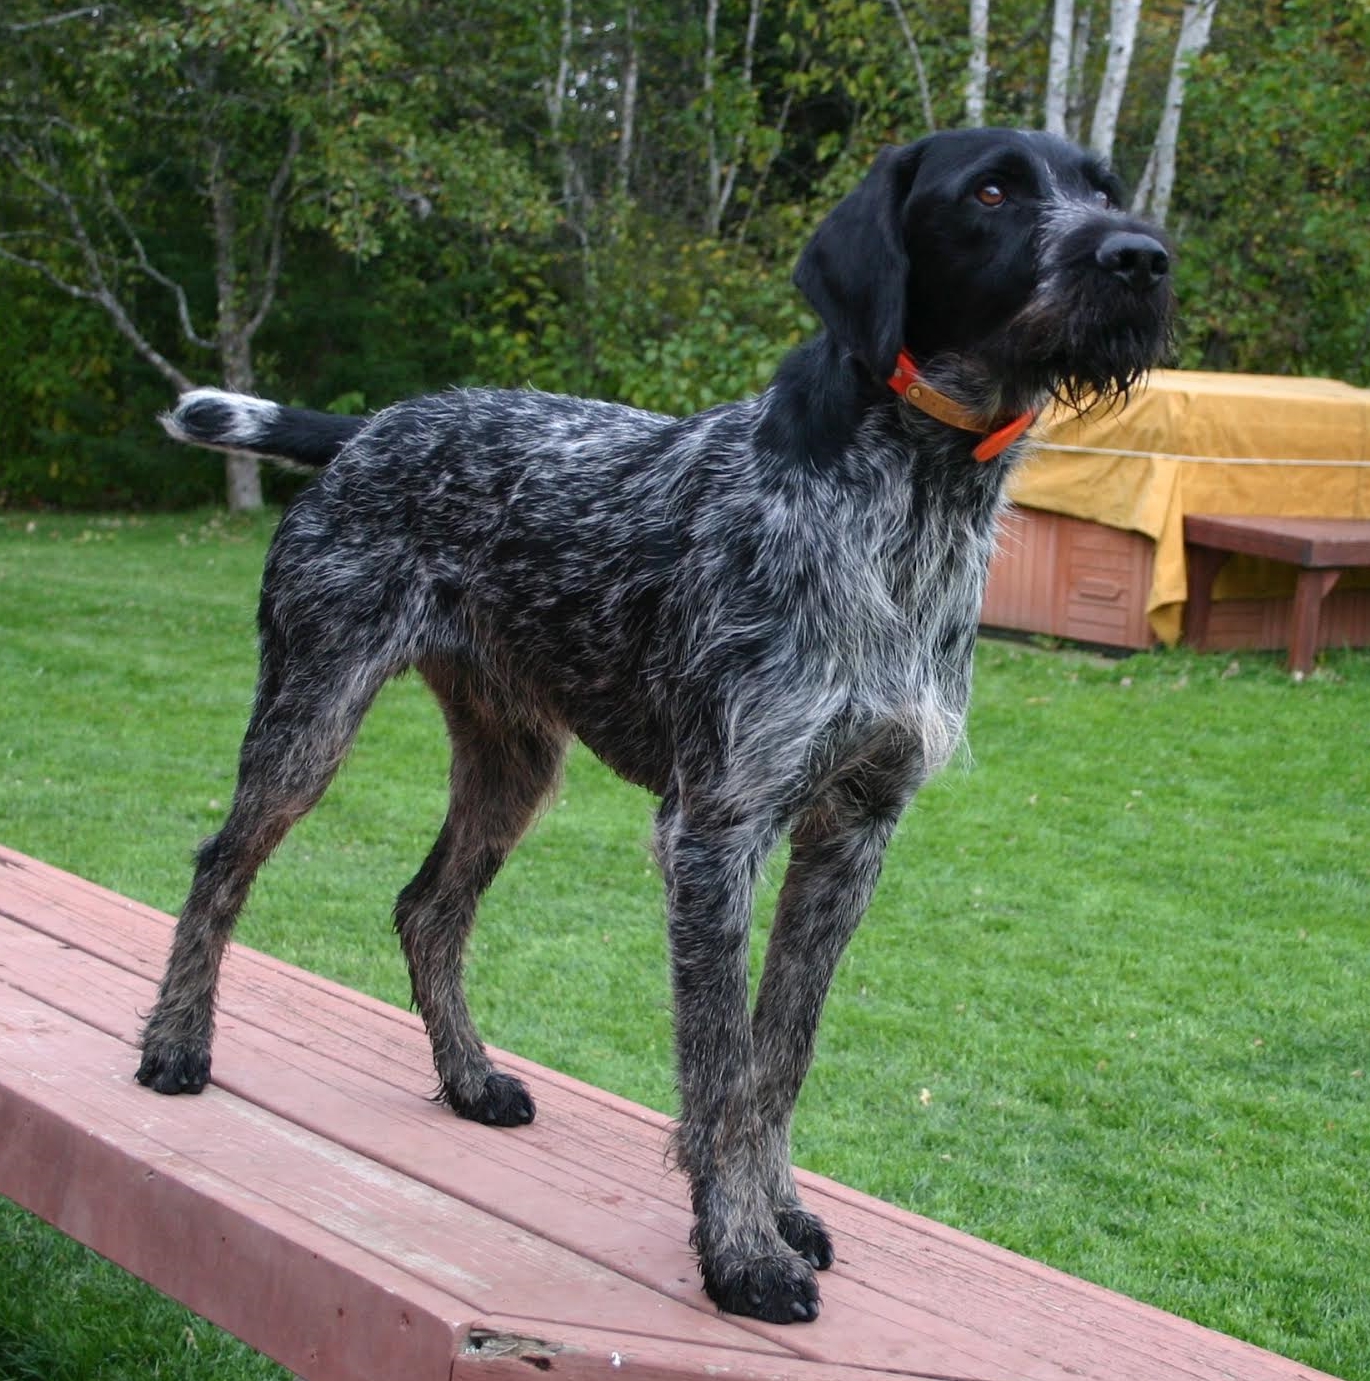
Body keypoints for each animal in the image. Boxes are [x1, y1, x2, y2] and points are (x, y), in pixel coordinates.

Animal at [136, 129, 1165, 1325]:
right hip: (312, 716)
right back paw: (176, 1043)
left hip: (514, 763)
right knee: (221, 864)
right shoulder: (718, 831)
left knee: (427, 909)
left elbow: (779, 1056)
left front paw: (778, 1209)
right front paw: (739, 1251)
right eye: (992, 191)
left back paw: (468, 1077)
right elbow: (717, 1069)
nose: (1142, 258)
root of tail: (373, 426)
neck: (914, 500)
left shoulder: (853, 836)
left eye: (1101, 188)